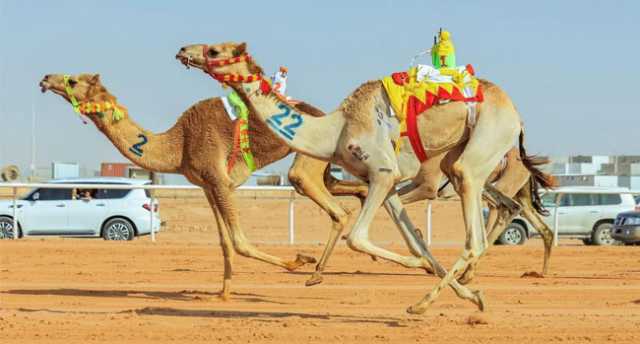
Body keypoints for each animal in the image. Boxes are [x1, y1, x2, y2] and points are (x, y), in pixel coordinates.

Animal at [176, 41, 552, 314]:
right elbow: (417, 239)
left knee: (476, 231)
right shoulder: (388, 183)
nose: (183, 51)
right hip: (462, 158)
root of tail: (516, 115)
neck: (334, 130)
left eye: (214, 51)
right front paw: (470, 293)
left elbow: (357, 237)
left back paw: (422, 304)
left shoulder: (383, 172)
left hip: (485, 145)